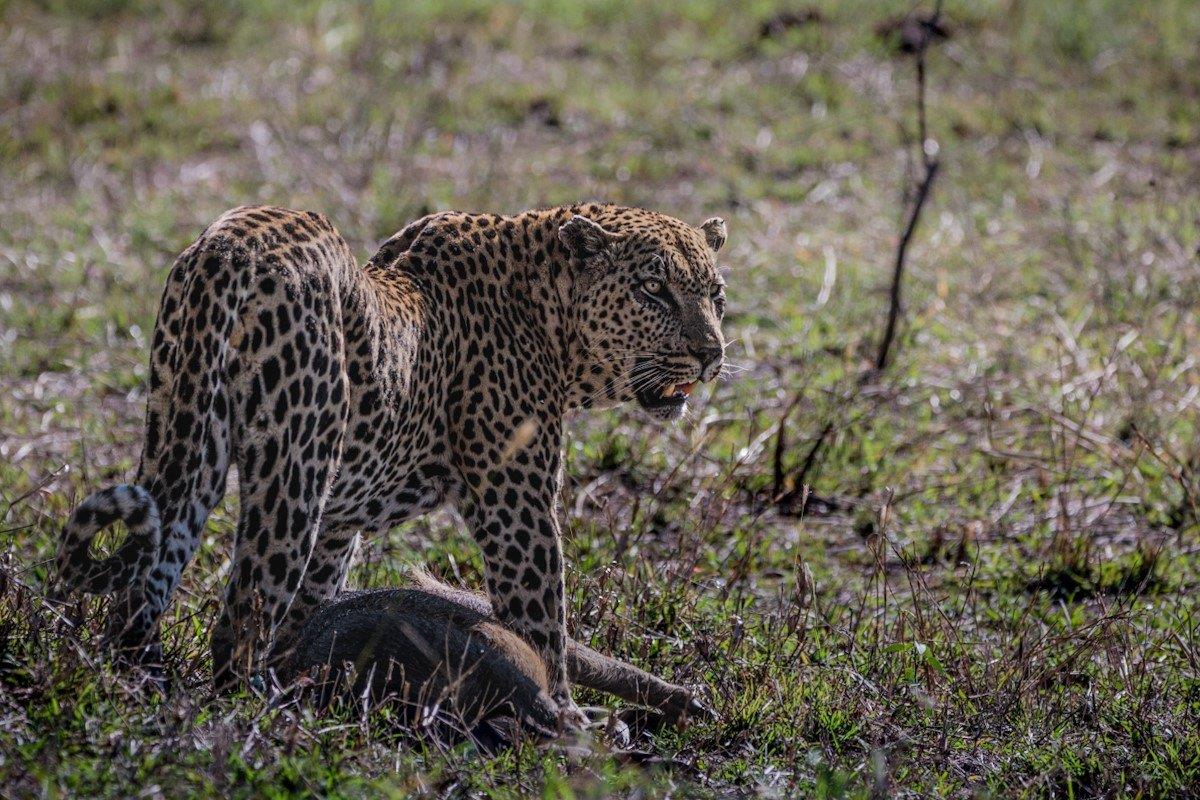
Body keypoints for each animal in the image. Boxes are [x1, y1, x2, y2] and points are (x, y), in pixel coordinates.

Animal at [55, 202, 729, 721]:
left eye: (716, 296)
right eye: (653, 290)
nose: (712, 354)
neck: (551, 321)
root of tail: (228, 246)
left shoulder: (338, 525)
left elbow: (314, 603)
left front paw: (309, 668)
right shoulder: (517, 508)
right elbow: (543, 623)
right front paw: (565, 713)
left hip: (187, 438)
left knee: (143, 592)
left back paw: (144, 683)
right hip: (292, 471)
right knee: (241, 617)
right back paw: (256, 712)